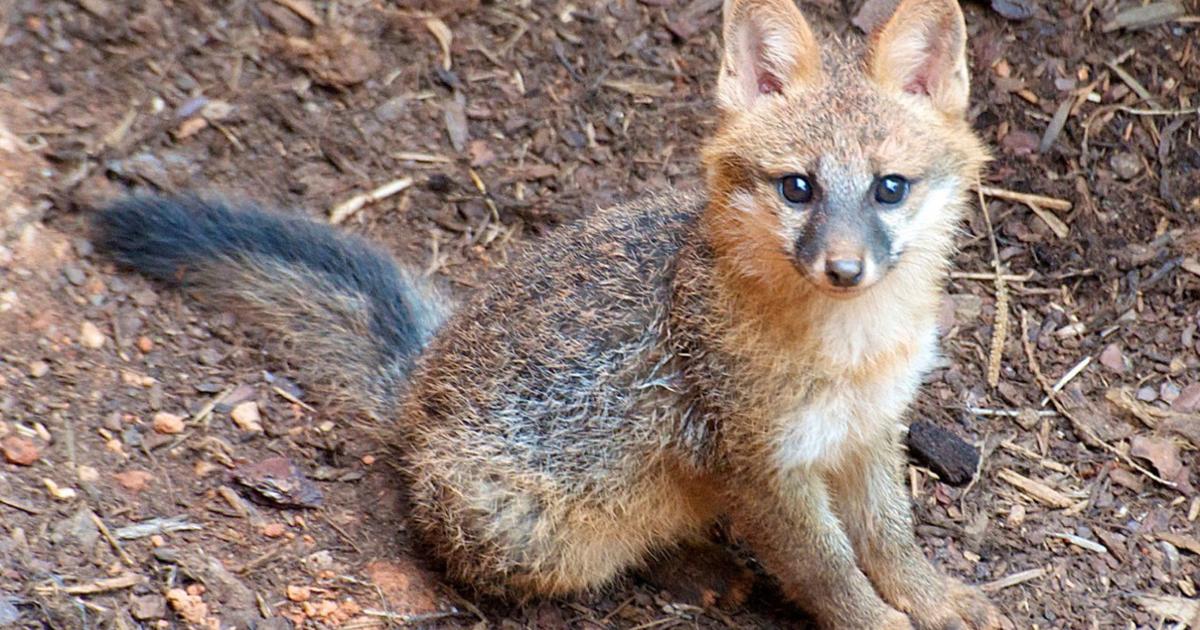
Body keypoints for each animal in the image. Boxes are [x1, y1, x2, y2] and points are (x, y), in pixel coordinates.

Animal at [95, 0, 999, 627]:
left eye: (889, 189)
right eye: (798, 188)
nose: (843, 268)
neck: (851, 353)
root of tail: (420, 379)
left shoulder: (870, 433)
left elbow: (890, 539)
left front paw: (935, 598)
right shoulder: (759, 467)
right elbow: (828, 570)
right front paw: (879, 619)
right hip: (549, 529)